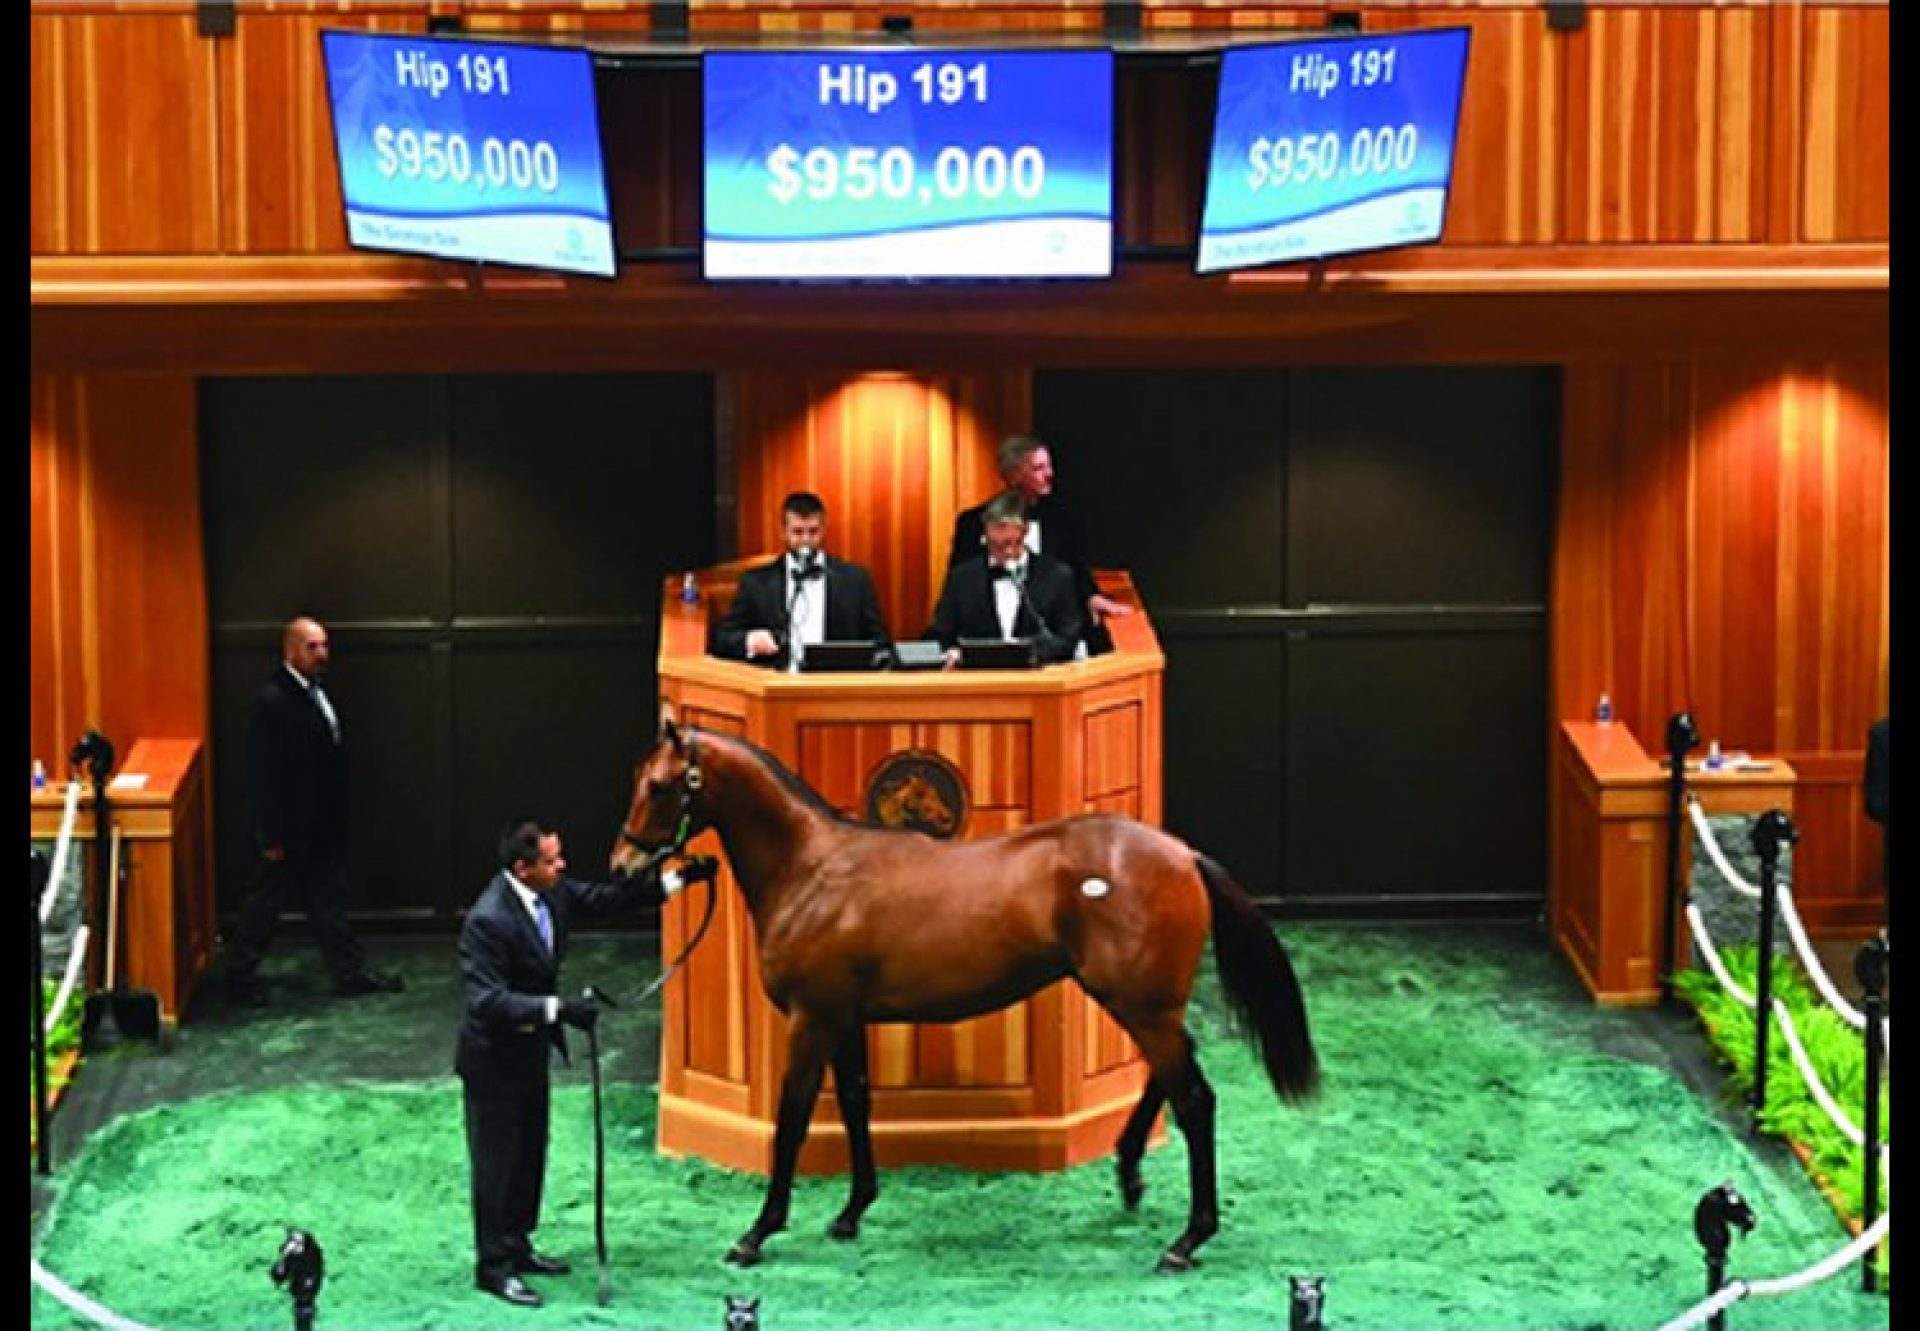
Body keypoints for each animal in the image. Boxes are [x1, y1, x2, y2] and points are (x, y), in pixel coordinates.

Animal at [614, 722, 1320, 1275]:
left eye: (659, 786)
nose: (624, 866)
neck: (813, 872)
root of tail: (1184, 855)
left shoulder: (812, 1021)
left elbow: (791, 1121)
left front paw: (757, 1233)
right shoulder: (844, 1019)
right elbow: (856, 1104)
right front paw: (851, 1212)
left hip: (1141, 1007)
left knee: (1195, 1099)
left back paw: (1187, 1239)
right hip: (1141, 1003)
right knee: (1171, 1077)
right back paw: (1128, 1172)